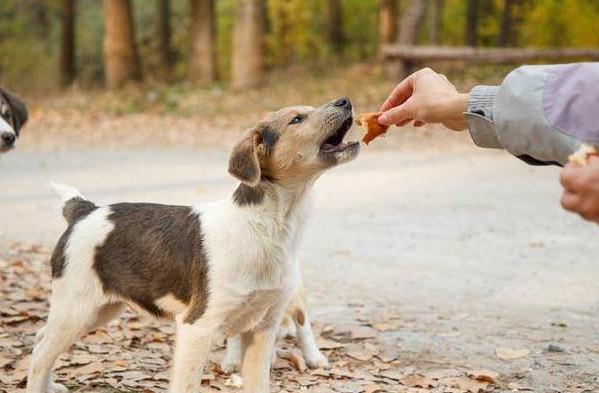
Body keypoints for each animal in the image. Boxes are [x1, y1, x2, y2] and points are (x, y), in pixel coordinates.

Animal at [27, 95, 356, 392]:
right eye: (297, 119)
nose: (345, 100)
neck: (267, 226)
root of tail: (84, 210)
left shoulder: (262, 329)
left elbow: (259, 384)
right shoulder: (197, 326)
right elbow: (186, 384)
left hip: (98, 310)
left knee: (42, 339)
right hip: (77, 307)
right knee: (40, 354)